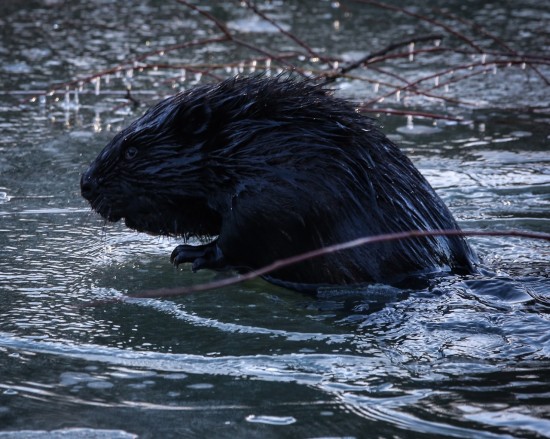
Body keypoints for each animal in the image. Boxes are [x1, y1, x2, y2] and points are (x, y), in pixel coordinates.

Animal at [78, 75, 478, 292]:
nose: (85, 183)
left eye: (131, 150)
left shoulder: (279, 189)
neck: (243, 144)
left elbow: (247, 234)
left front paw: (188, 254)